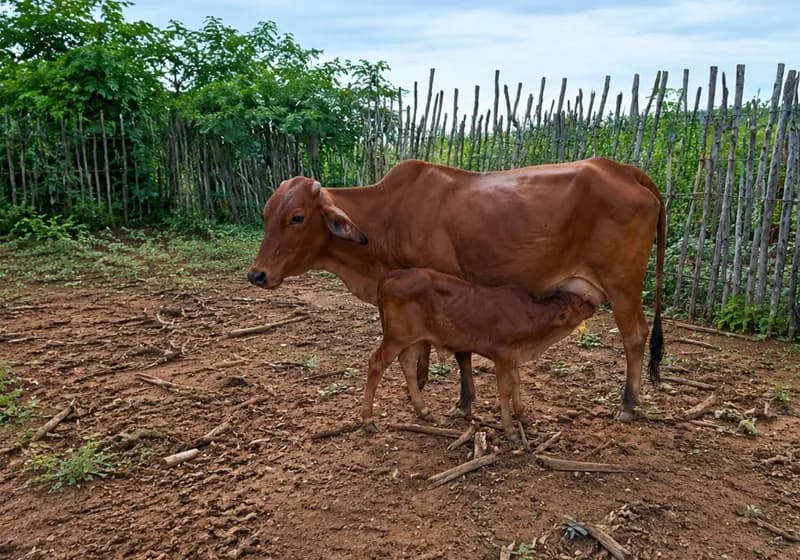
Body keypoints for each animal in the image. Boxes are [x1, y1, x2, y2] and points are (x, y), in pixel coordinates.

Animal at [248, 157, 665, 421]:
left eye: (297, 217)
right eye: (266, 214)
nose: (257, 275)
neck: (387, 215)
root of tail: (625, 170)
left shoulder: (448, 284)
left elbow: (458, 351)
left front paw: (462, 402)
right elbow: (421, 350)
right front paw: (421, 391)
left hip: (622, 283)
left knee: (634, 335)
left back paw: (629, 404)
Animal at [362, 268, 600, 439]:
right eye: (579, 304)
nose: (594, 305)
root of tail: (391, 275)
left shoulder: (512, 356)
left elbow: (517, 381)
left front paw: (522, 414)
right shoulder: (502, 354)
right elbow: (504, 389)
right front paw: (510, 429)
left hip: (414, 339)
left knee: (408, 364)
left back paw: (423, 410)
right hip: (396, 337)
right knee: (376, 364)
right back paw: (367, 420)